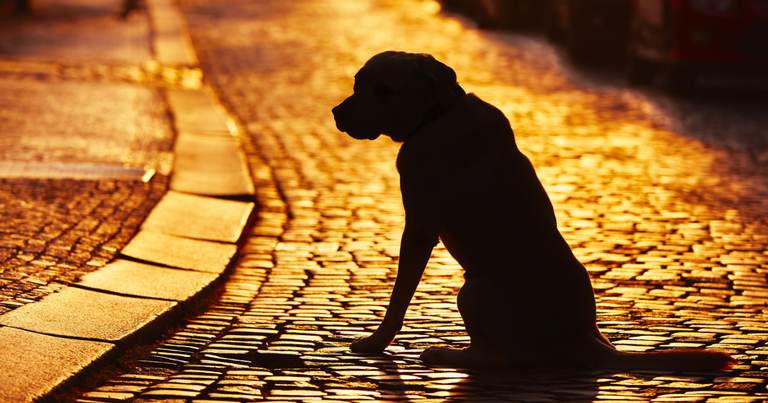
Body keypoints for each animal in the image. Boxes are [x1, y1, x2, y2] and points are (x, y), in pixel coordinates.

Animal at [332, 50, 736, 372]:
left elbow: (398, 297)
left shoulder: (418, 229)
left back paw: (444, 354)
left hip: (475, 288)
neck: (436, 115)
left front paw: (375, 343)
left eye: (384, 91)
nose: (337, 113)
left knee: (491, 357)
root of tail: (585, 340)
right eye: (357, 81)